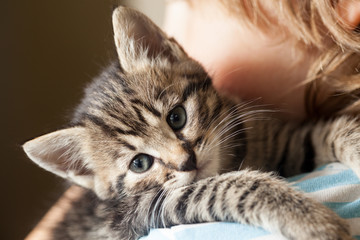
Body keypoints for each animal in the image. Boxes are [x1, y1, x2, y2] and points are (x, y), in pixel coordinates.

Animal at [22, 6, 358, 239]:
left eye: (177, 117)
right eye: (140, 164)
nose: (187, 161)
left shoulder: (280, 142)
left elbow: (329, 131)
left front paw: (354, 145)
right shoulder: (143, 209)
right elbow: (228, 186)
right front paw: (310, 220)